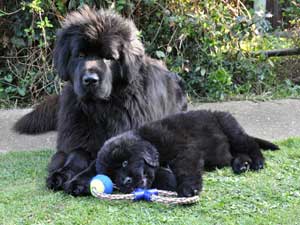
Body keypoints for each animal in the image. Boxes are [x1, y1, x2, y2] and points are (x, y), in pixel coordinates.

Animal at [15, 5, 188, 195]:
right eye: (80, 55)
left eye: (108, 57)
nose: (90, 80)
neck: (100, 108)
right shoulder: (78, 135)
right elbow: (76, 155)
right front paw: (61, 174)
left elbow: (100, 162)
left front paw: (79, 181)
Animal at [96, 110, 278, 197]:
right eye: (112, 176)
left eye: (125, 163)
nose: (125, 181)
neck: (152, 141)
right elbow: (160, 175)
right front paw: (170, 181)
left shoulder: (185, 150)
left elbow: (185, 168)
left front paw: (188, 188)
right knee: (237, 153)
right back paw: (241, 164)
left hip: (230, 128)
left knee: (250, 144)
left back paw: (257, 162)